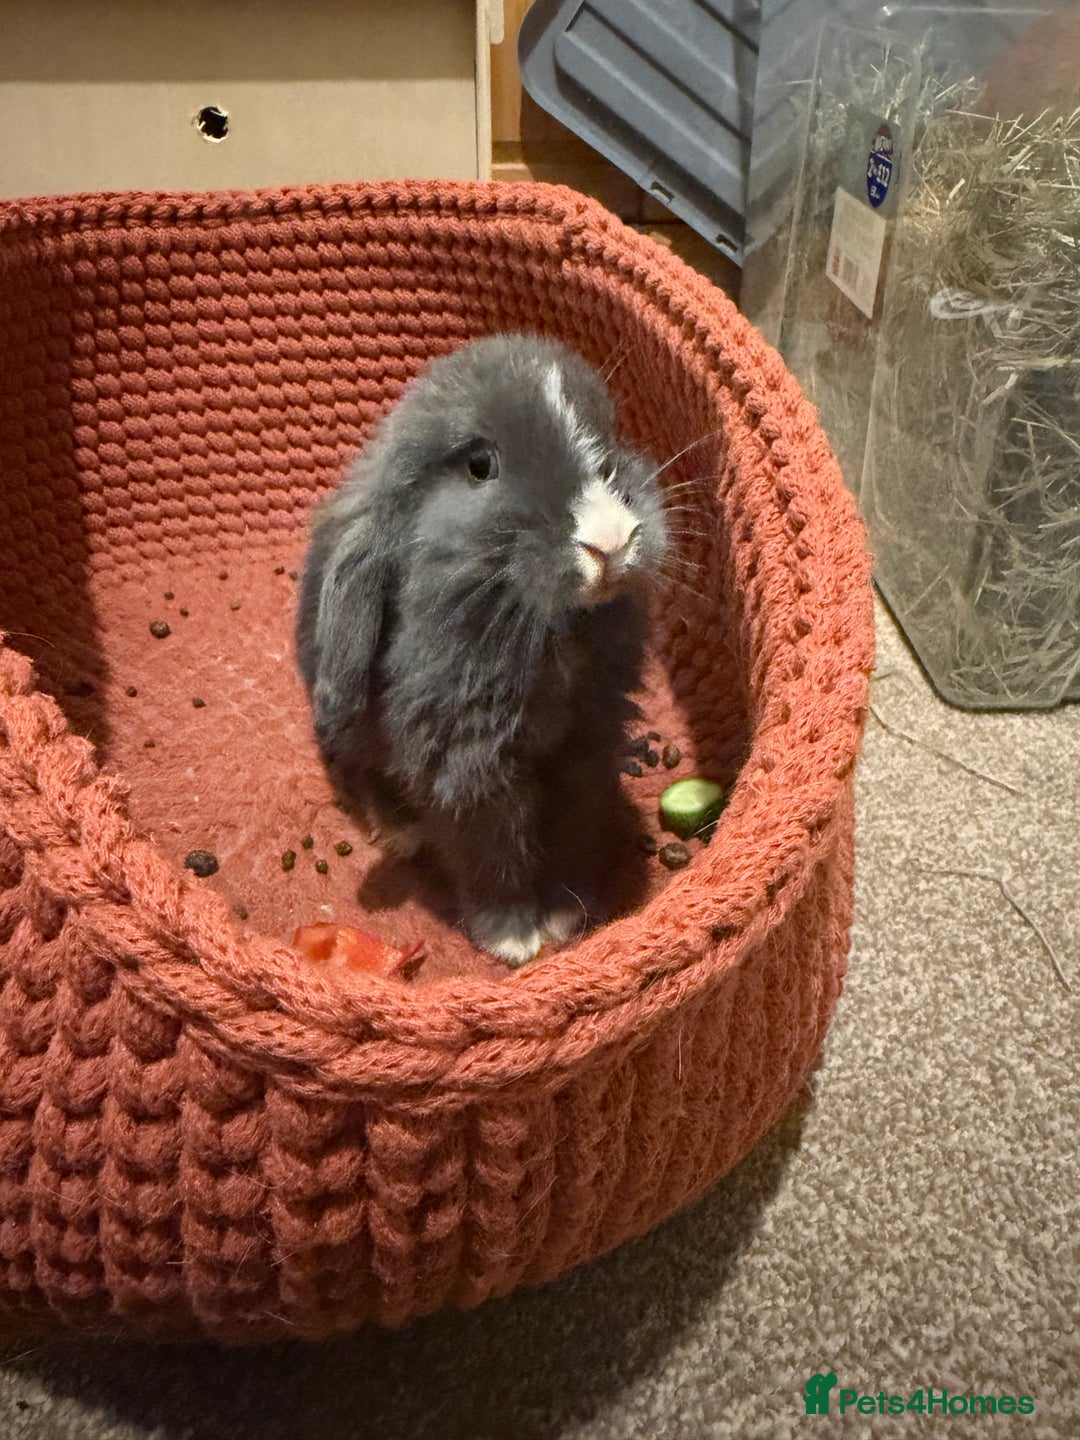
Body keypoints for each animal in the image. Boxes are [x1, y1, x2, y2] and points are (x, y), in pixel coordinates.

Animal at [296, 332, 669, 965]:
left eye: (610, 453)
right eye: (480, 467)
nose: (611, 542)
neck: (544, 631)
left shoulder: (586, 750)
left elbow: (574, 828)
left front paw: (566, 912)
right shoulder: (466, 764)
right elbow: (491, 848)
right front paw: (512, 936)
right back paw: (398, 829)